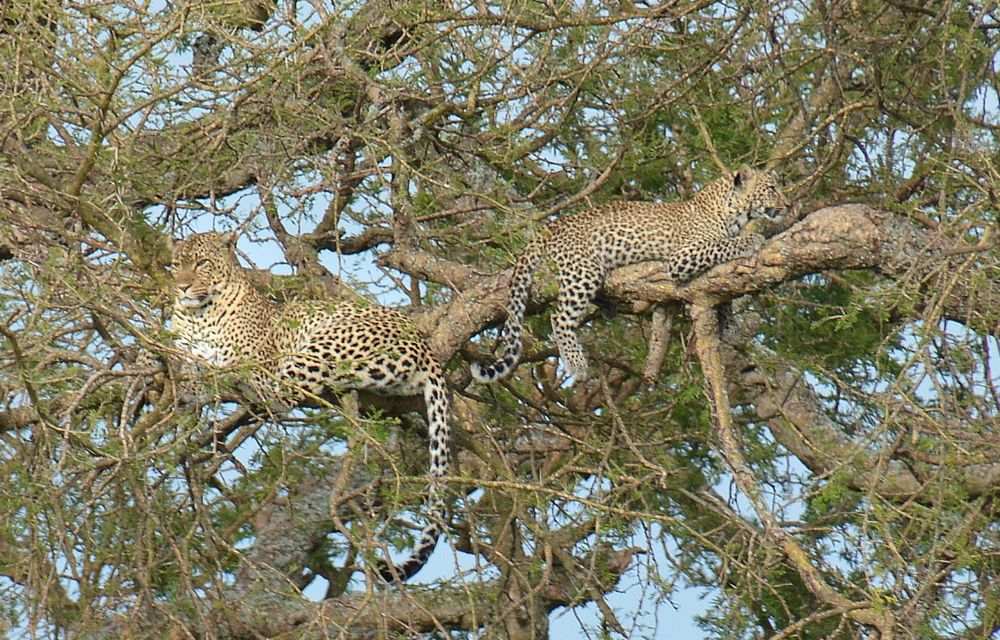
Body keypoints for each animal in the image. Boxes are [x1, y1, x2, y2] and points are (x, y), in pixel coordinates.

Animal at [173, 232, 454, 584]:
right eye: (176, 264)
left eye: (202, 263)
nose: (182, 287)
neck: (197, 317)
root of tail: (424, 344)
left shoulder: (257, 360)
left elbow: (225, 367)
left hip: (323, 344)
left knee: (279, 395)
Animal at [470, 166, 788, 384]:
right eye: (772, 188)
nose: (786, 206)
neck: (731, 213)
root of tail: (553, 225)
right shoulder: (682, 257)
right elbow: (721, 246)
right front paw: (750, 241)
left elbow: (724, 294)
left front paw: (730, 325)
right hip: (583, 271)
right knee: (559, 318)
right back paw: (576, 363)